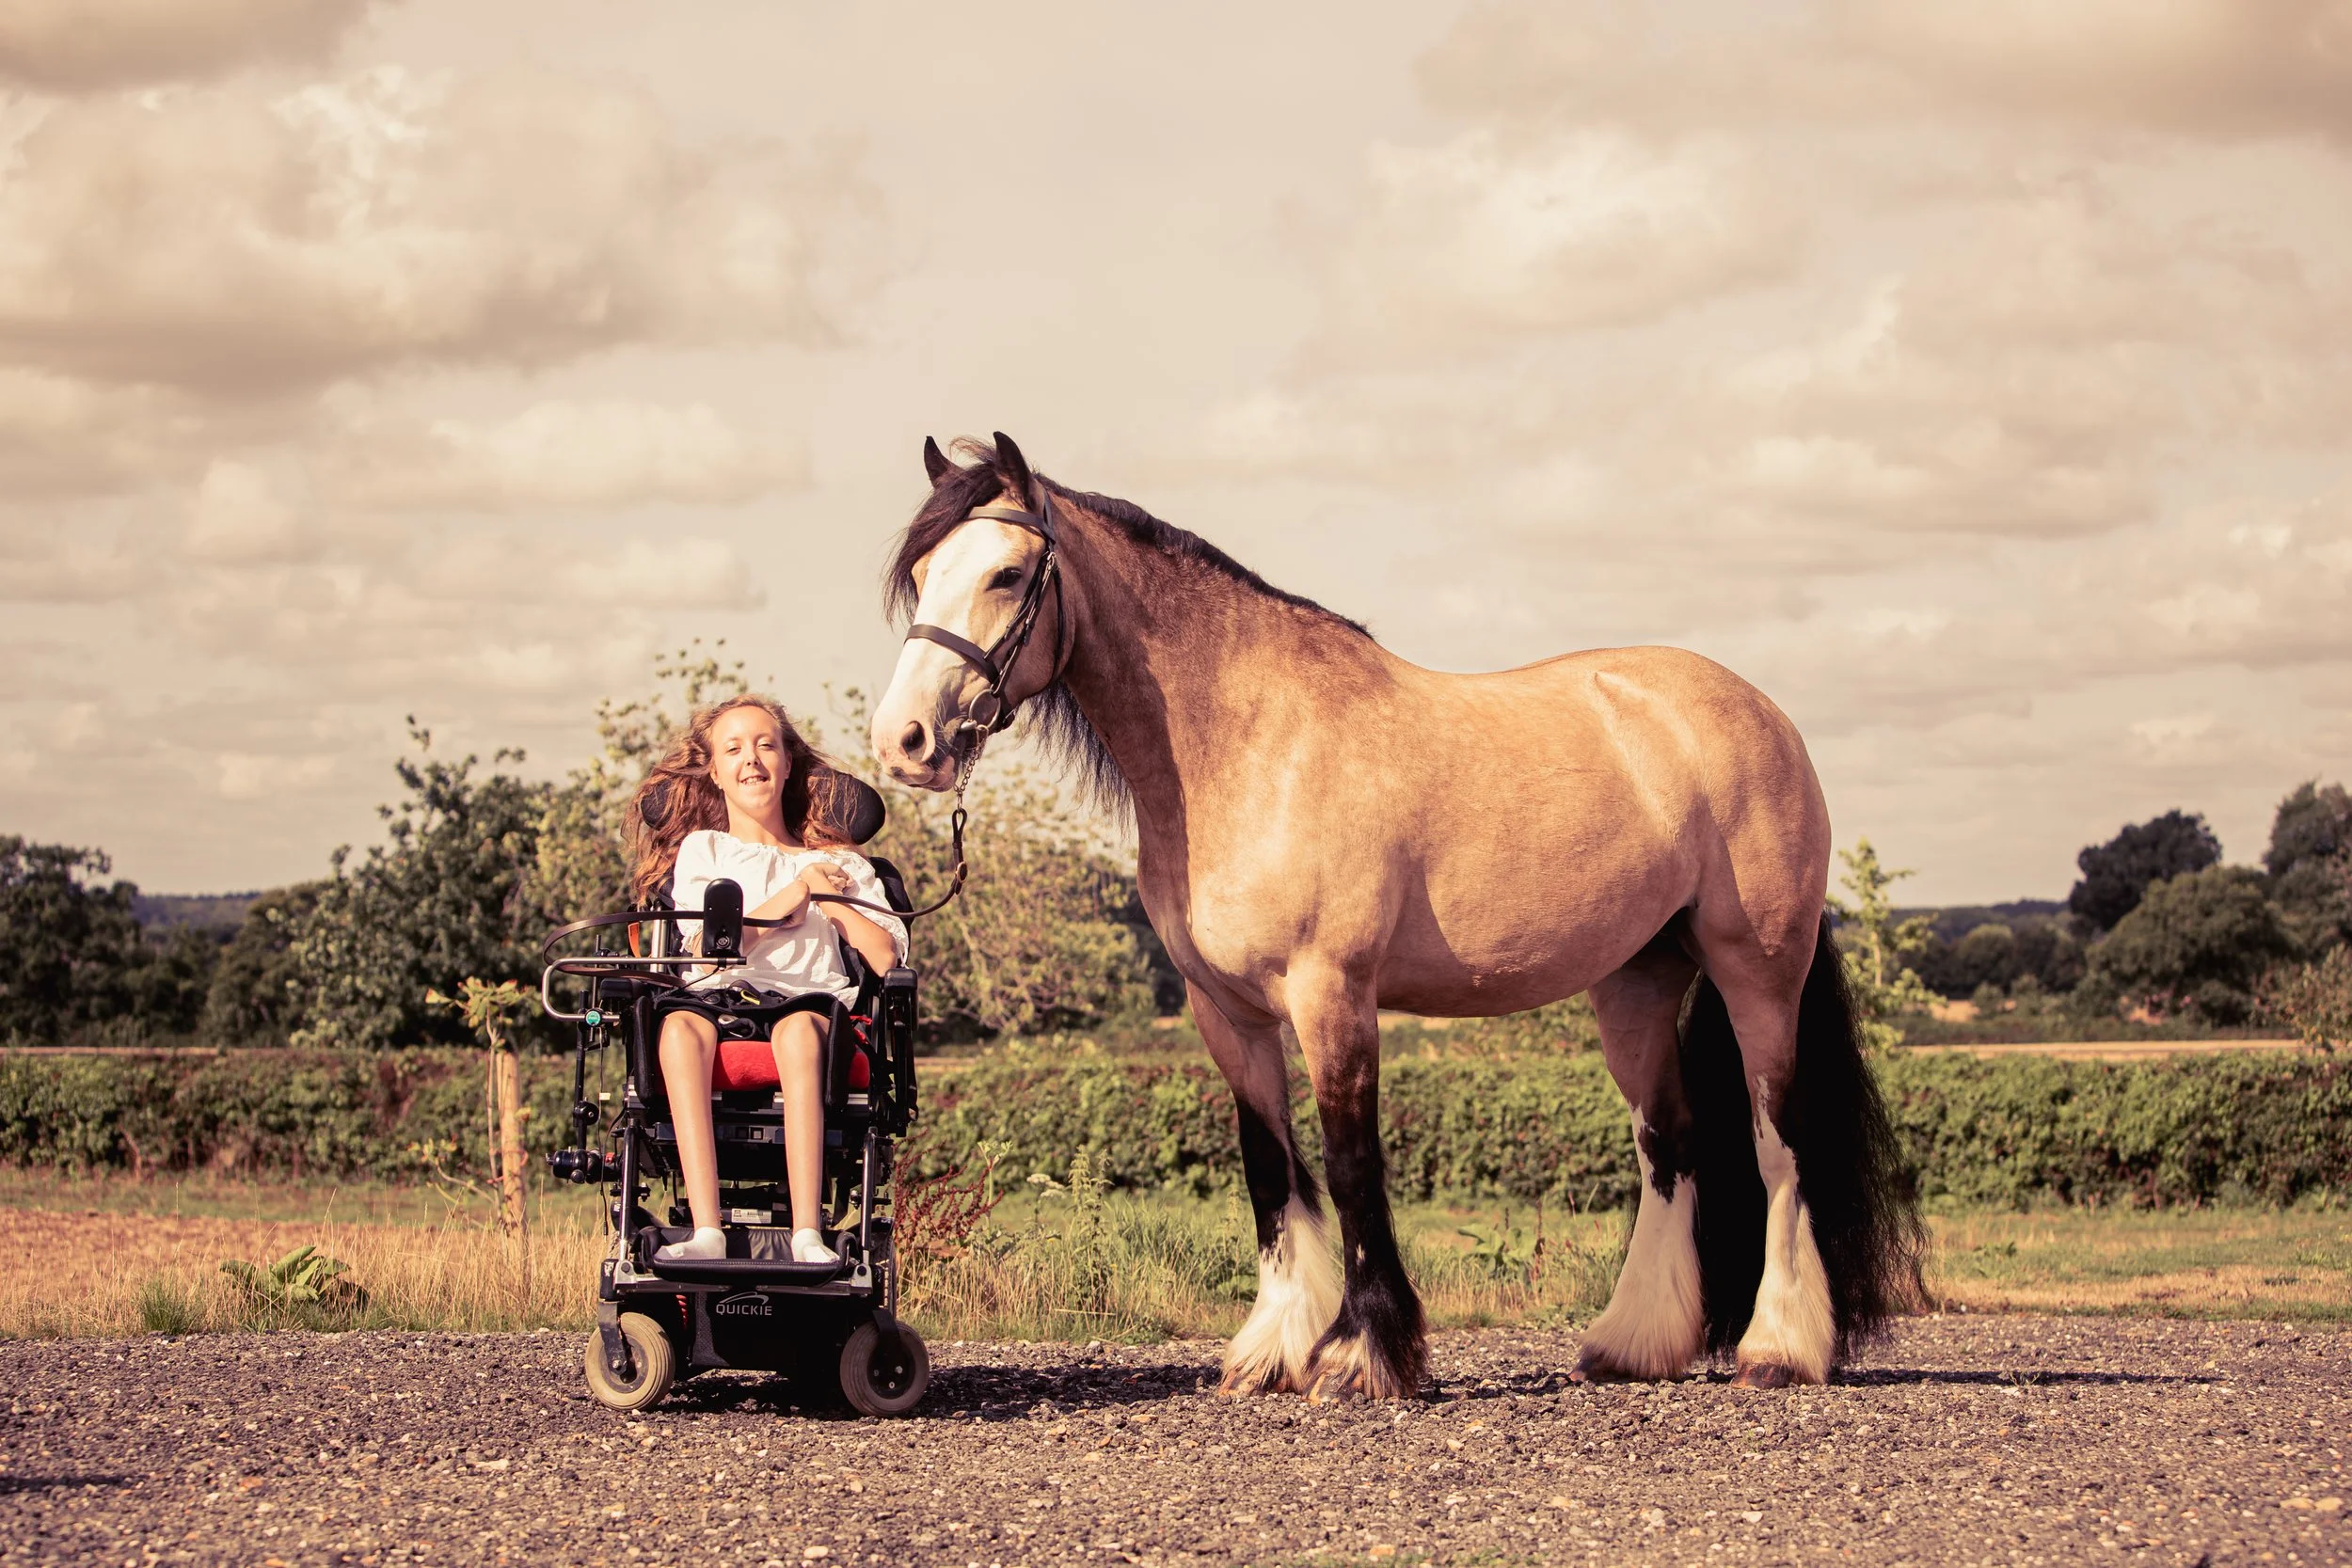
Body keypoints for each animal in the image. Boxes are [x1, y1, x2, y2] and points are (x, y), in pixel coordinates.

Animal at [868, 434, 1926, 1399]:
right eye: (920, 573)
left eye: (1007, 572)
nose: (904, 741)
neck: (1252, 743)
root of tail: (1761, 715)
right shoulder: (1227, 1012)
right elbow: (1269, 1166)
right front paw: (1273, 1349)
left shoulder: (1331, 993)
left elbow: (1349, 1163)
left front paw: (1361, 1352)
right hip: (1635, 981)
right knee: (1670, 1141)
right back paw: (1632, 1344)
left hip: (1758, 971)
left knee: (1779, 1141)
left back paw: (1779, 1347)